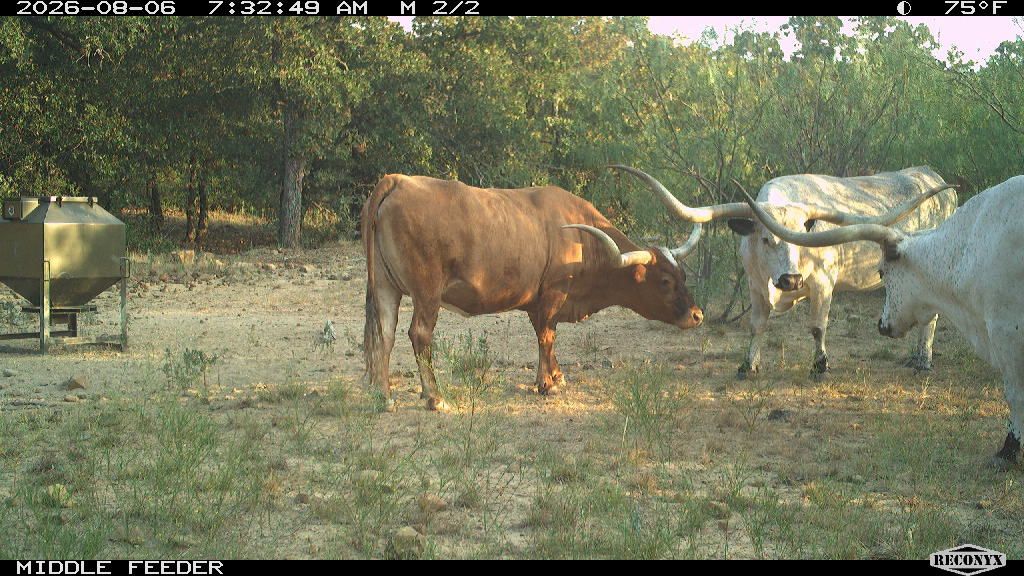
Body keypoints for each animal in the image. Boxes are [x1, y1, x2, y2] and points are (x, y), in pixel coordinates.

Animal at [362, 174, 705, 412]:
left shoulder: (535, 301)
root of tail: (397, 180)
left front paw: (556, 375)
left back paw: (383, 396)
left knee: (384, 333)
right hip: (427, 292)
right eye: (665, 281)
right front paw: (546, 384)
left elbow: (544, 334)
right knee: (419, 334)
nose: (697, 315)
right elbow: (546, 335)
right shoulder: (553, 293)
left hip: (385, 286)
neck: (581, 237)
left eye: (683, 275)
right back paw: (435, 397)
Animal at [611, 165, 957, 379]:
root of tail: (929, 174)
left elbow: (817, 327)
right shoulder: (754, 285)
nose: (791, 279)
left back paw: (923, 361)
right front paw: (748, 365)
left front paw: (820, 365)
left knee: (932, 318)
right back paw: (915, 356)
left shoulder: (822, 285)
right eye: (766, 239)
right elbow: (757, 326)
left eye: (801, 238)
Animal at [740, 176, 1024, 467]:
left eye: (882, 271)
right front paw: (749, 365)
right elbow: (758, 325)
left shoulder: (1007, 334)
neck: (971, 249)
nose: (881, 325)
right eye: (765, 240)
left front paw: (1008, 451)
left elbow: (1014, 395)